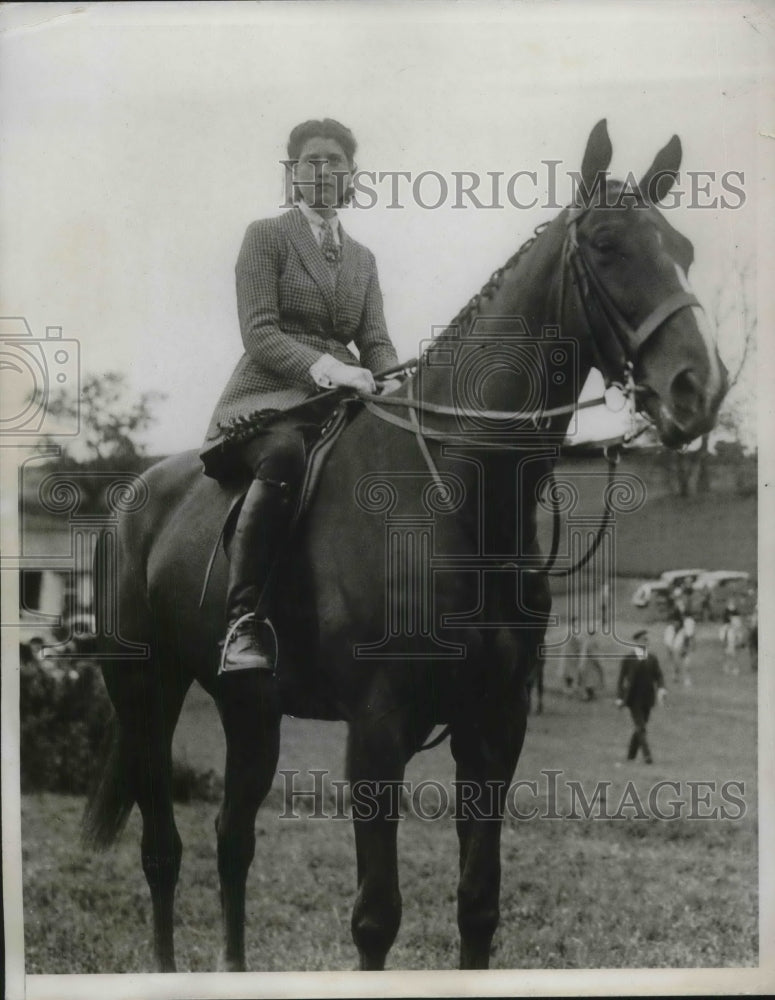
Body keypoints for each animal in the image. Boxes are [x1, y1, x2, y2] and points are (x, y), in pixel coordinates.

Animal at [83, 121, 728, 972]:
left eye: (684, 250)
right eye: (606, 245)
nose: (701, 389)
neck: (459, 493)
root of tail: (129, 501)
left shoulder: (495, 725)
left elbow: (478, 906)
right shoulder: (378, 727)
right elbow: (375, 917)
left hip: (248, 707)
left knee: (231, 841)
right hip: (145, 694)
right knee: (163, 851)